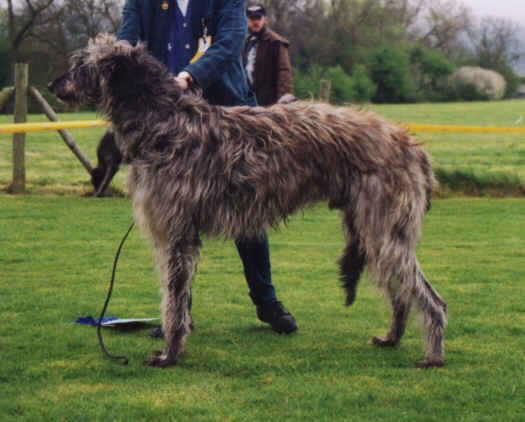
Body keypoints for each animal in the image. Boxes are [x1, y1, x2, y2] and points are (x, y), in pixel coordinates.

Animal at [49, 34, 444, 368]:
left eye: (82, 64)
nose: (53, 85)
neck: (164, 123)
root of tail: (409, 143)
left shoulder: (176, 233)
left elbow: (173, 300)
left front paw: (169, 353)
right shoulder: (179, 234)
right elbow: (176, 297)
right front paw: (173, 344)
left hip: (383, 230)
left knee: (430, 298)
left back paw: (433, 355)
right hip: (373, 229)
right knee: (401, 294)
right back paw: (392, 338)